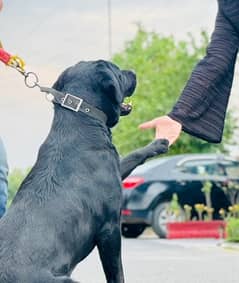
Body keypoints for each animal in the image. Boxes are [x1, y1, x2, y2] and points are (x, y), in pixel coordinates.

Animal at [0, 60, 168, 283]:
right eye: (118, 71)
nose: (133, 71)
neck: (82, 118)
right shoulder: (110, 228)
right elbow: (117, 273)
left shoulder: (115, 167)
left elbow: (132, 156)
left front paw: (157, 144)